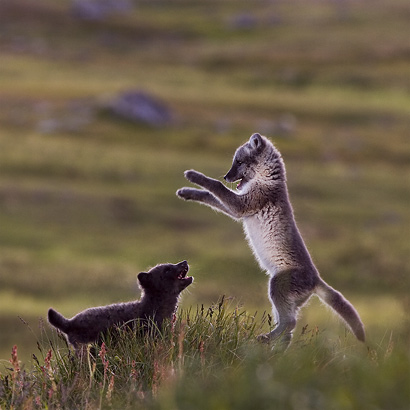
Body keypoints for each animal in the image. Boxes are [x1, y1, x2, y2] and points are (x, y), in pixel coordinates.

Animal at [176, 134, 366, 346]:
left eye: (239, 162)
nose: (226, 176)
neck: (267, 180)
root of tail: (316, 279)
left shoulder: (243, 205)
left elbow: (215, 187)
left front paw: (194, 176)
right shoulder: (239, 210)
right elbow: (209, 196)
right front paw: (187, 192)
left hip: (276, 286)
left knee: (290, 323)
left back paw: (266, 338)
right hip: (286, 300)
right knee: (289, 330)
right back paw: (274, 347)